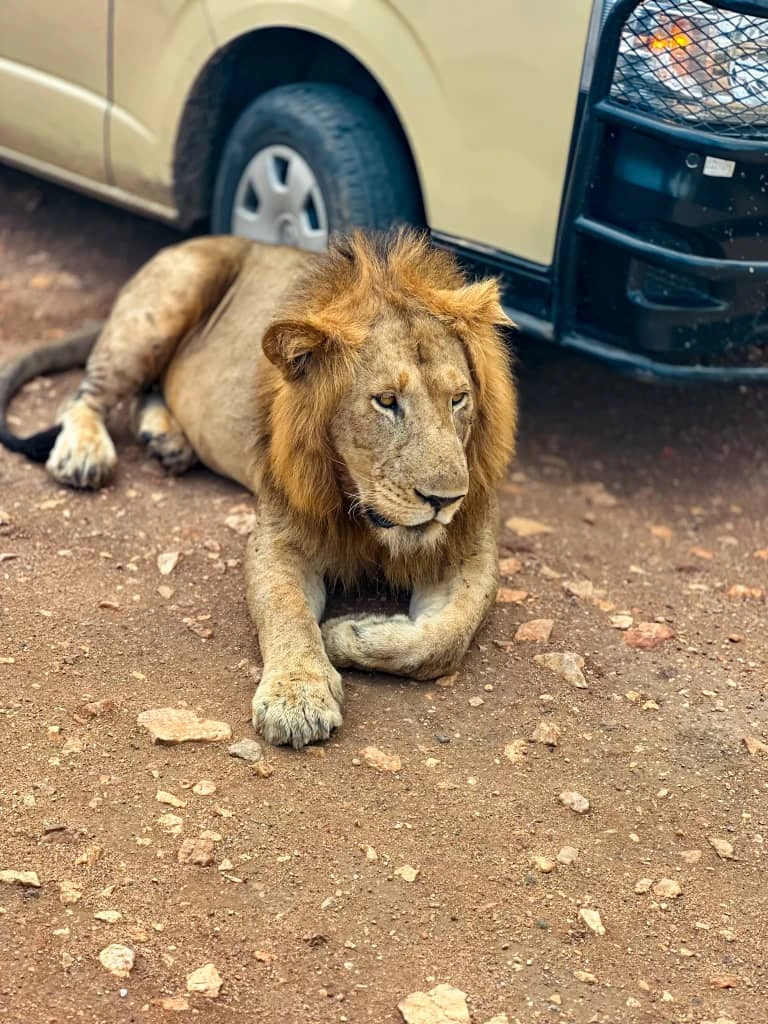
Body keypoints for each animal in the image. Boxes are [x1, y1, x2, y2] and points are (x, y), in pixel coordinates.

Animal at [0, 230, 517, 747]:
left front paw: (348, 634)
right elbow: (288, 612)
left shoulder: (471, 548)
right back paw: (85, 453)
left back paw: (166, 439)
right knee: (83, 397)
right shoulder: (278, 539)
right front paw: (299, 697)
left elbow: (445, 636)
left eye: (459, 399)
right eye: (386, 401)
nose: (445, 501)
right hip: (164, 304)